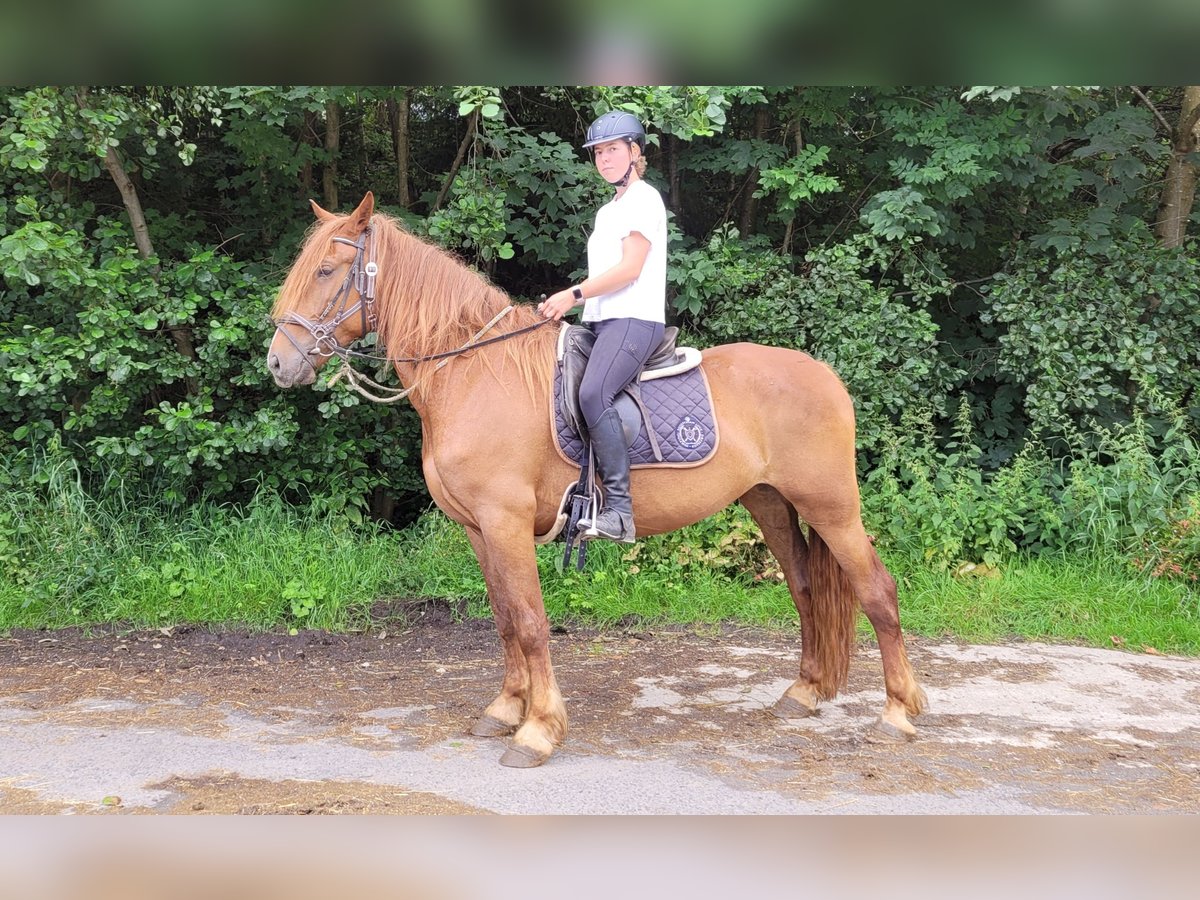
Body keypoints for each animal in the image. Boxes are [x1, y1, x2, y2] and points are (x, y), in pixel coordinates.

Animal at [270, 190, 926, 768]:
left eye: (326, 270)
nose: (279, 362)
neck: (473, 372)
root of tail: (825, 375)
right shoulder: (479, 530)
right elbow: (504, 618)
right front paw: (505, 708)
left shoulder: (506, 522)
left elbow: (531, 623)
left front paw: (538, 730)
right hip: (771, 503)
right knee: (806, 590)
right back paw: (806, 693)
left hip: (831, 507)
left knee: (878, 591)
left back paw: (898, 712)